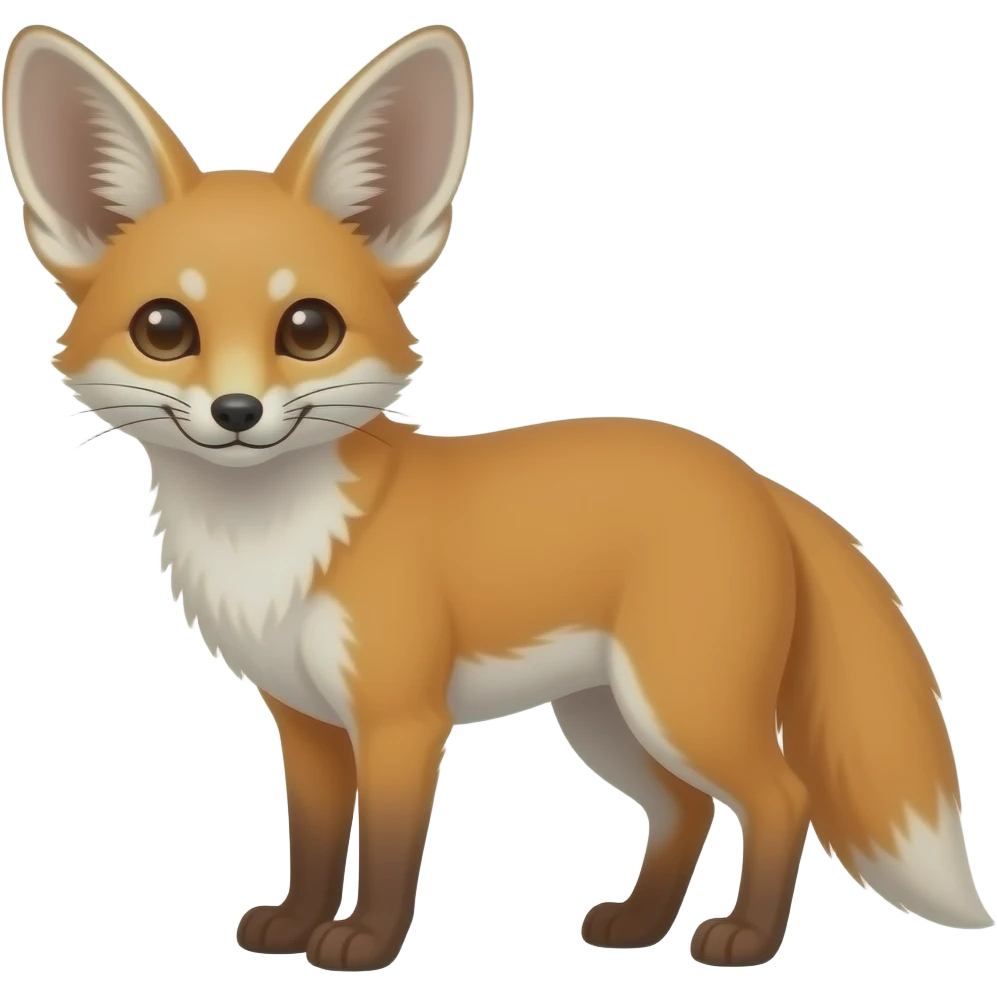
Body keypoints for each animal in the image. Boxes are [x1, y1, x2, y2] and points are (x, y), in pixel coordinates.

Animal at [2, 19, 992, 974]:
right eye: (165, 328)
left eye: (308, 328)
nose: (237, 412)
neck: (271, 548)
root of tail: (751, 476)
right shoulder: (306, 723)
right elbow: (316, 843)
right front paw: (293, 924)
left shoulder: (401, 718)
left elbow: (388, 849)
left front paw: (365, 945)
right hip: (605, 718)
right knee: (684, 809)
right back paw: (637, 924)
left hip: (681, 706)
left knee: (781, 796)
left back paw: (745, 939)